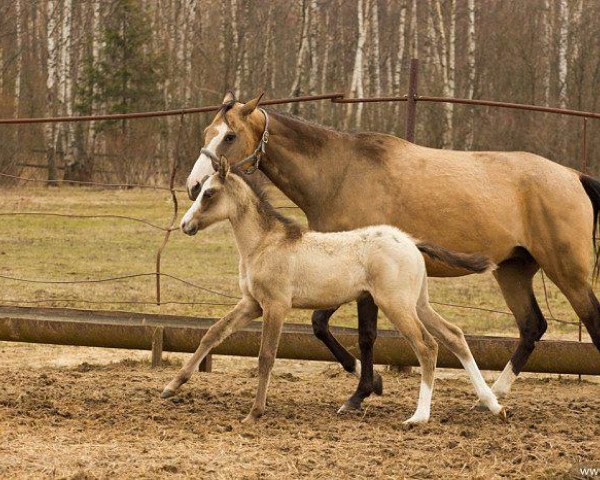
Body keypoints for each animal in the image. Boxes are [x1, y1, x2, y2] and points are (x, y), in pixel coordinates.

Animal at [162, 159, 504, 426]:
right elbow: (213, 334)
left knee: (427, 346)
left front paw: (254, 413)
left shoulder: (276, 306)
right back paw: (492, 404)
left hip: (396, 305)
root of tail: (409, 240)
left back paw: (419, 416)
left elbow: (266, 356)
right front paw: (172, 386)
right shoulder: (252, 304)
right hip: (417, 303)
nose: (186, 225)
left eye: (209, 193)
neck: (265, 243)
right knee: (453, 335)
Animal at [185, 94, 600, 412]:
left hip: (568, 273)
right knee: (532, 326)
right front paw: (368, 384)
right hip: (512, 271)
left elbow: (363, 334)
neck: (339, 173)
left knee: (590, 323)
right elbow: (323, 325)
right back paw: (491, 396)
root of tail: (573, 175)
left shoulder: (359, 282)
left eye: (230, 136)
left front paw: (361, 393)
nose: (194, 185)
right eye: (206, 134)